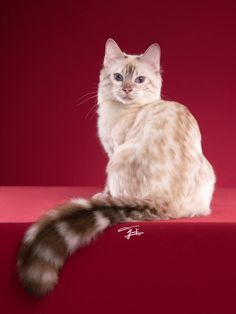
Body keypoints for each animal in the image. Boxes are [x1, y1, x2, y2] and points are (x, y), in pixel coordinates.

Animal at [16, 38, 216, 296]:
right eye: (119, 77)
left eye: (139, 80)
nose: (128, 89)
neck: (120, 111)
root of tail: (162, 199)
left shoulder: (113, 150)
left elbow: (107, 187)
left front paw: (102, 195)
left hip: (118, 159)